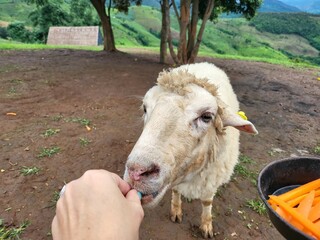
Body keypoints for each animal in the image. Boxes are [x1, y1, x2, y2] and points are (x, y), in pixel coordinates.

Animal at [123, 62, 258, 238]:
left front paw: (206, 225)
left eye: (207, 116)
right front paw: (176, 210)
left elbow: (207, 202)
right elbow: (175, 191)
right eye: (145, 108)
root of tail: (204, 63)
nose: (136, 171)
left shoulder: (211, 181)